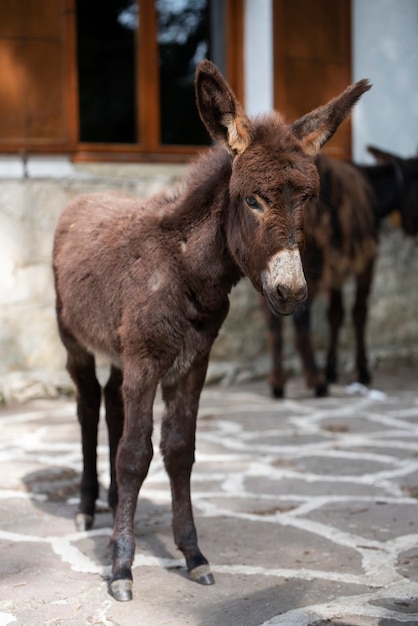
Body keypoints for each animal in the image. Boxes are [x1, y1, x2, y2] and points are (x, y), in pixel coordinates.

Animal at [52, 59, 370, 600]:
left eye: (307, 199)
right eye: (252, 201)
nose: (291, 292)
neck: (184, 268)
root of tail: (84, 199)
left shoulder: (191, 362)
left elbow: (180, 452)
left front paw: (193, 555)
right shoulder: (146, 361)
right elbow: (135, 455)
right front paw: (121, 568)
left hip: (118, 351)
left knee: (113, 406)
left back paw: (112, 504)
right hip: (76, 340)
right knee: (89, 408)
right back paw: (86, 507)